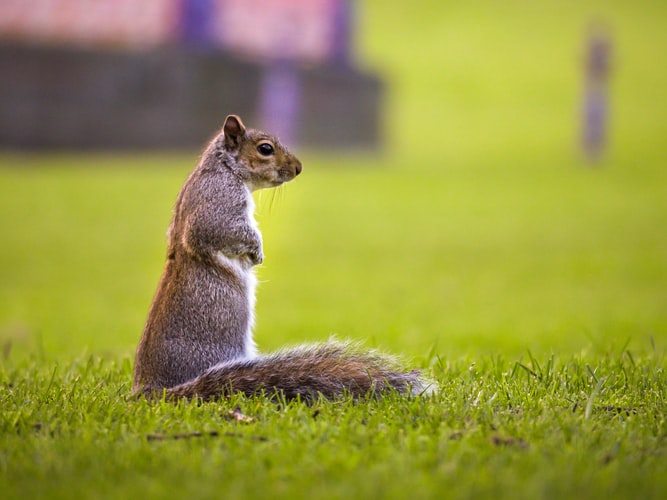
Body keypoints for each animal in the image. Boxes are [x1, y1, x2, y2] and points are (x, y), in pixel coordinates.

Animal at [133, 115, 430, 400]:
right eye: (265, 149)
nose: (298, 167)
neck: (224, 168)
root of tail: (155, 390)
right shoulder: (219, 201)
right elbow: (225, 230)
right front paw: (257, 252)